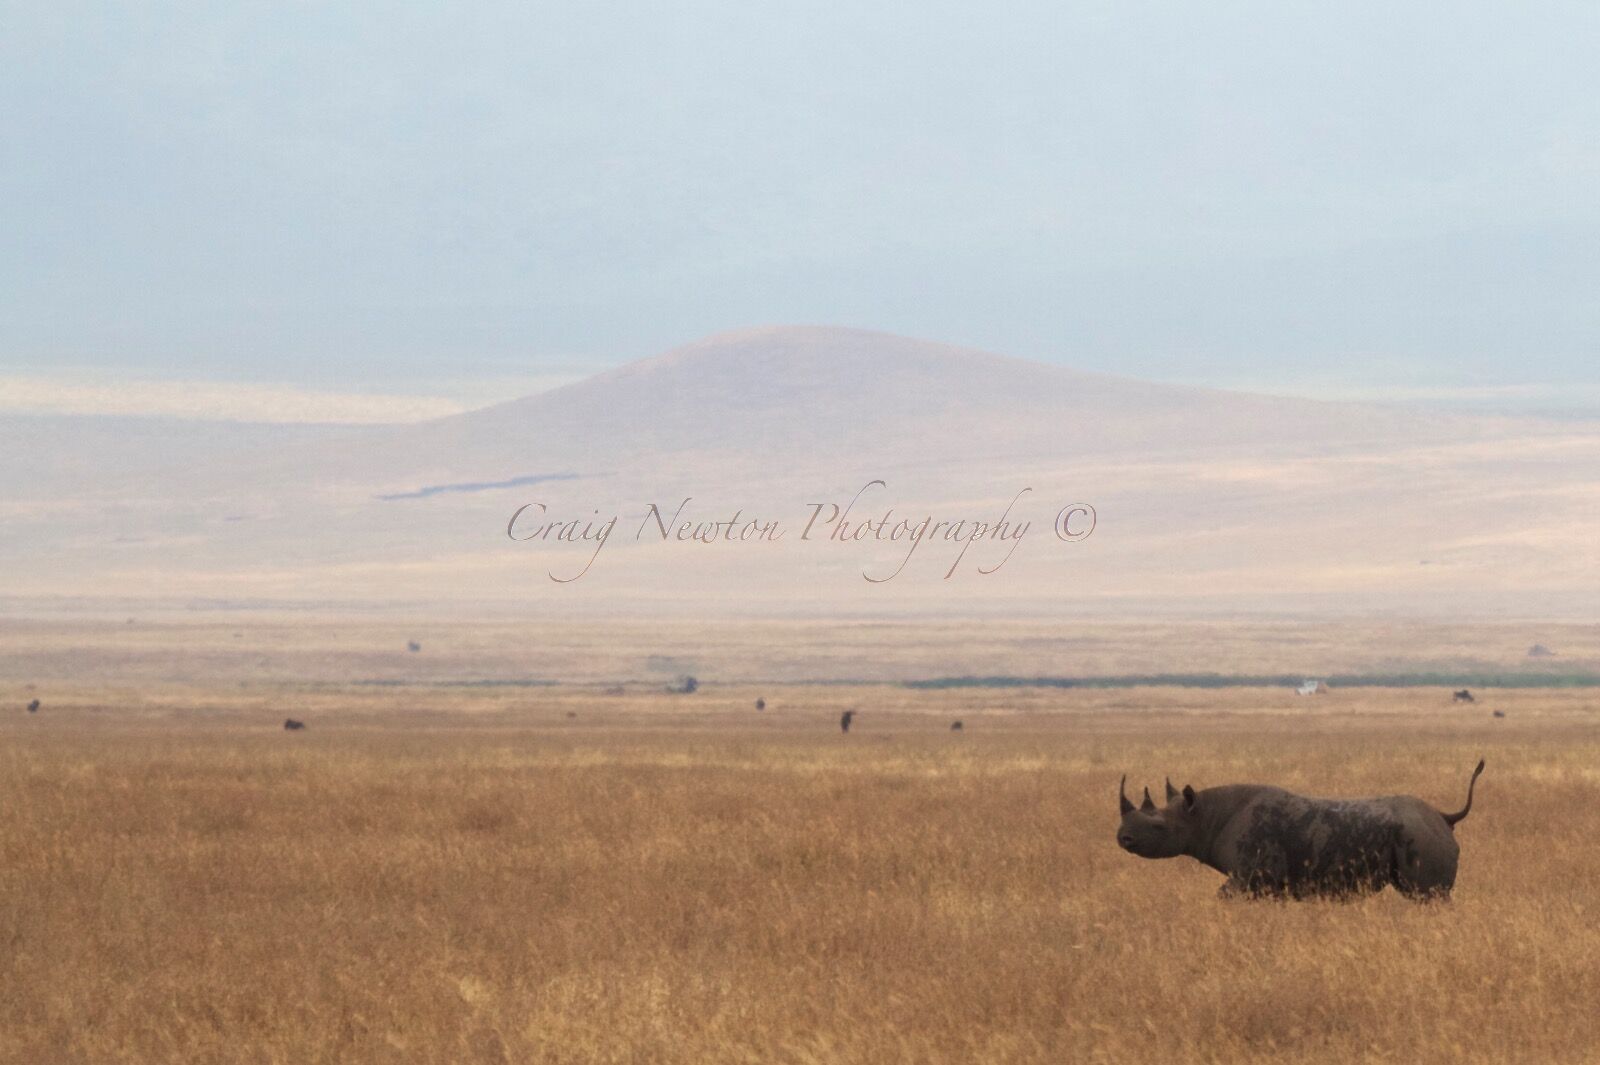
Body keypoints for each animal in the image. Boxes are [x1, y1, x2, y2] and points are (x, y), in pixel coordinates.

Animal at [1116, 760, 1484, 900]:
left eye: (1158, 827)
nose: (1123, 838)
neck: (1203, 815)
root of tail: (1444, 817)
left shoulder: (1250, 875)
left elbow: (1223, 895)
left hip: (1421, 838)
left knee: (1429, 897)